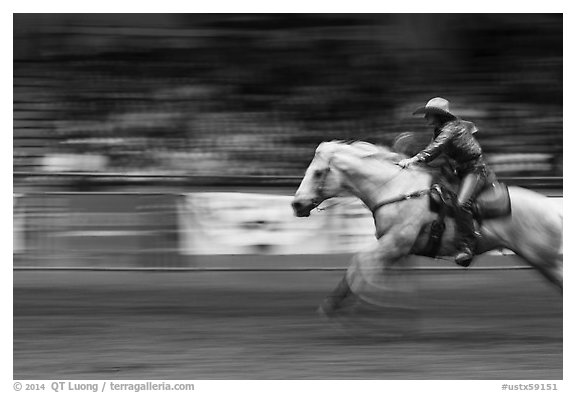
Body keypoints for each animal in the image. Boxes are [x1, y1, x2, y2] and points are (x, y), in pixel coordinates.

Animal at [292, 141, 564, 316]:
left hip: (548, 259)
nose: (297, 204)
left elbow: (360, 263)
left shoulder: (395, 243)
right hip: (543, 262)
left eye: (318, 173)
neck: (396, 190)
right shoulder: (396, 251)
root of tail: (553, 209)